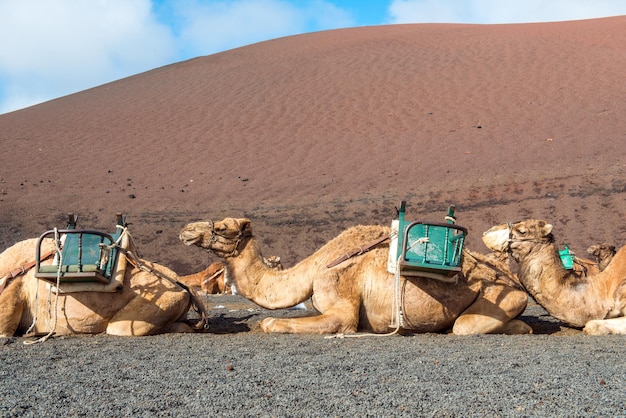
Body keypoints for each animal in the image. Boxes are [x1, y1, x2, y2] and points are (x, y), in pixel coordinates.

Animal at [177, 217, 532, 334]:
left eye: (223, 227)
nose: (186, 231)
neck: (316, 267)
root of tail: (513, 281)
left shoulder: (342, 305)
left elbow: (271, 323)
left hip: (500, 299)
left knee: (465, 326)